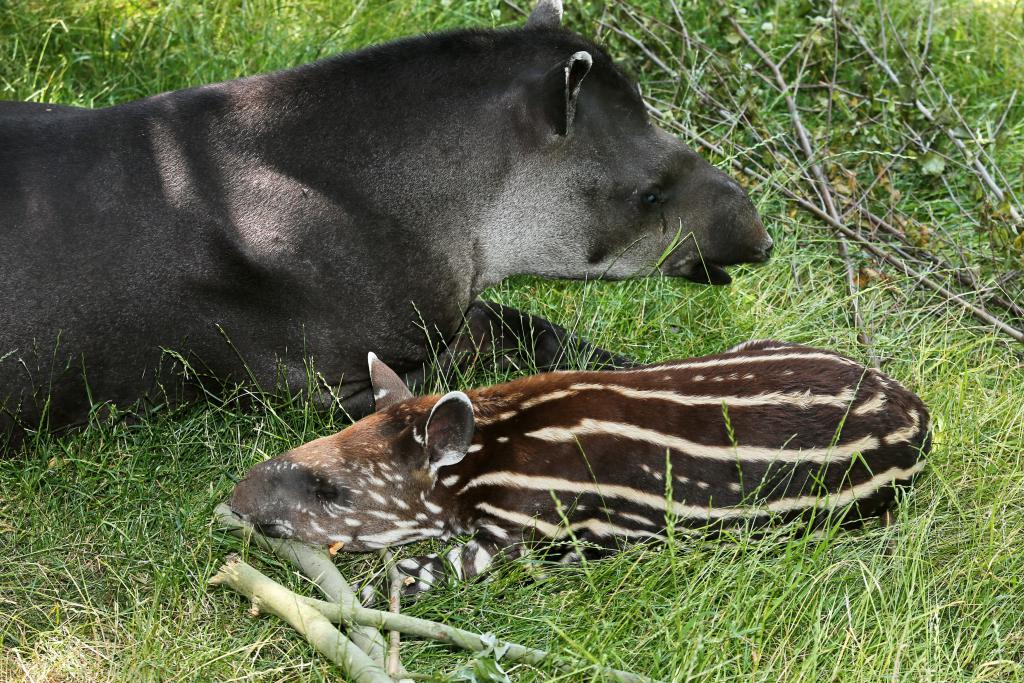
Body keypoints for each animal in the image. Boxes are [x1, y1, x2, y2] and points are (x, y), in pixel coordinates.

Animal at [230, 341, 929, 595]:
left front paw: (380, 590)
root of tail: (920, 418)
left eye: (332, 491)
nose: (234, 502)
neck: (493, 451)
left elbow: (442, 567)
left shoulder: (529, 530)